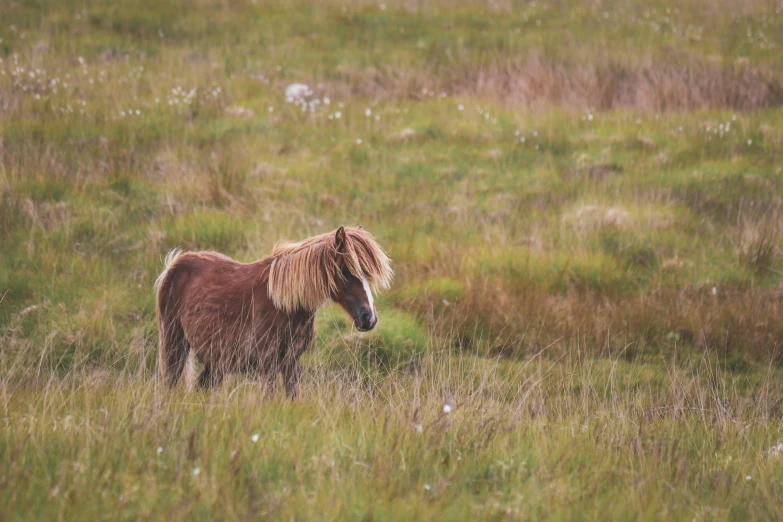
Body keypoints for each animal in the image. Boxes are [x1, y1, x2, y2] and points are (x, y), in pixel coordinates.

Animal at [155, 225, 392, 396]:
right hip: (175, 344)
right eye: (345, 270)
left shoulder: (291, 363)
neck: (285, 305)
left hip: (216, 362)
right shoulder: (268, 363)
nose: (369, 318)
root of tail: (174, 263)